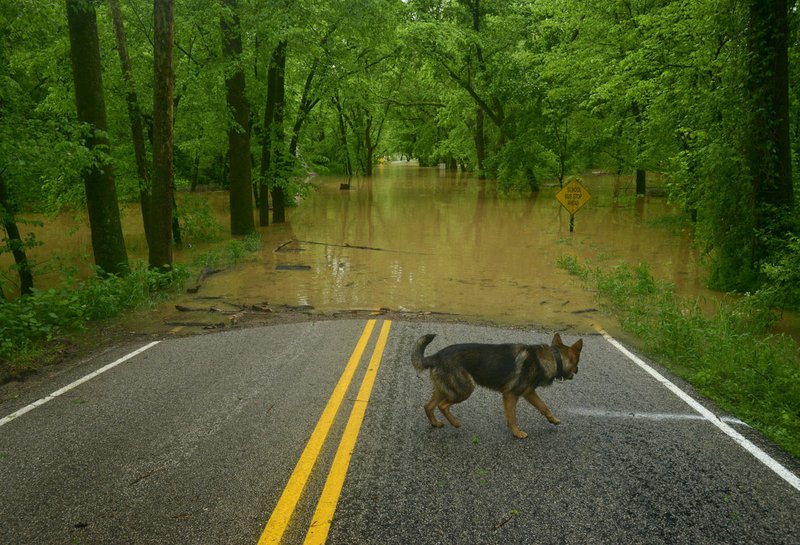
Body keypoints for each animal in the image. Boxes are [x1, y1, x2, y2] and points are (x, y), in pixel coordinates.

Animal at [412, 332, 580, 438]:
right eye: (577, 362)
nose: (578, 371)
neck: (552, 357)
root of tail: (436, 356)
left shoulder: (529, 393)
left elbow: (544, 407)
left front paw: (553, 420)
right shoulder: (511, 395)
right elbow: (512, 416)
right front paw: (516, 433)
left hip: (445, 390)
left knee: (428, 406)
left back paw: (435, 423)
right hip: (464, 390)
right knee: (442, 406)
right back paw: (455, 423)